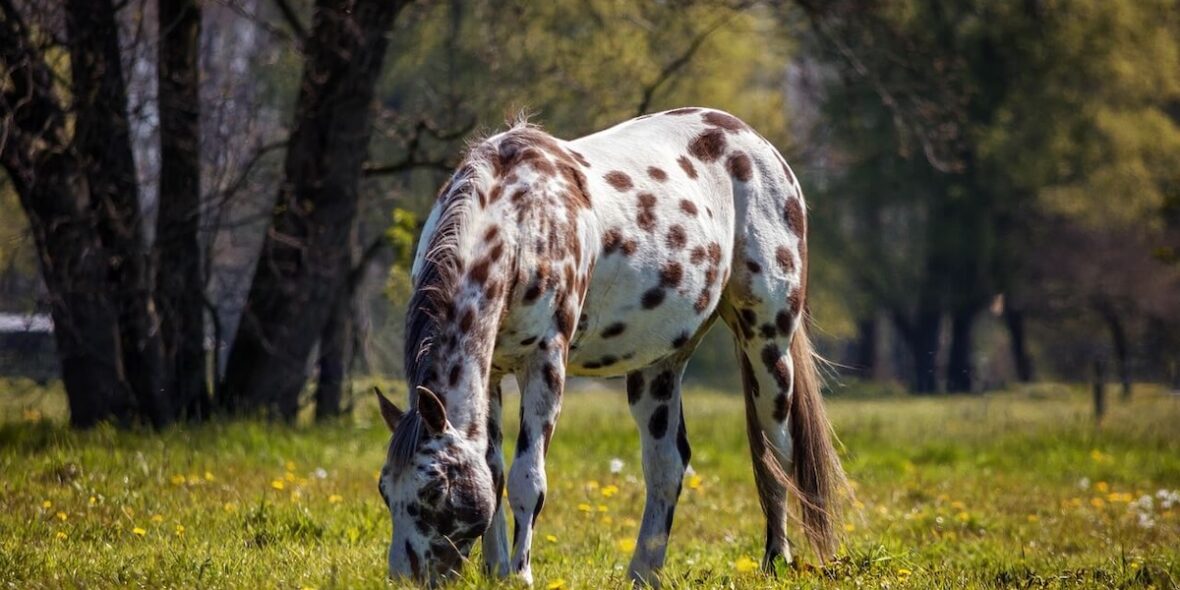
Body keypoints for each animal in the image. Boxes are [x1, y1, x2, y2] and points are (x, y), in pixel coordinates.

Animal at [373, 107, 846, 586]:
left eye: (434, 489)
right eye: (384, 489)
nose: (404, 578)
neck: (521, 221)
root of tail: (756, 143)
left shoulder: (545, 362)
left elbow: (528, 480)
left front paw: (520, 575)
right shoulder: (492, 373)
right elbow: (494, 472)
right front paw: (496, 570)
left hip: (767, 343)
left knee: (775, 453)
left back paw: (776, 559)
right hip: (660, 364)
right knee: (666, 466)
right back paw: (643, 573)